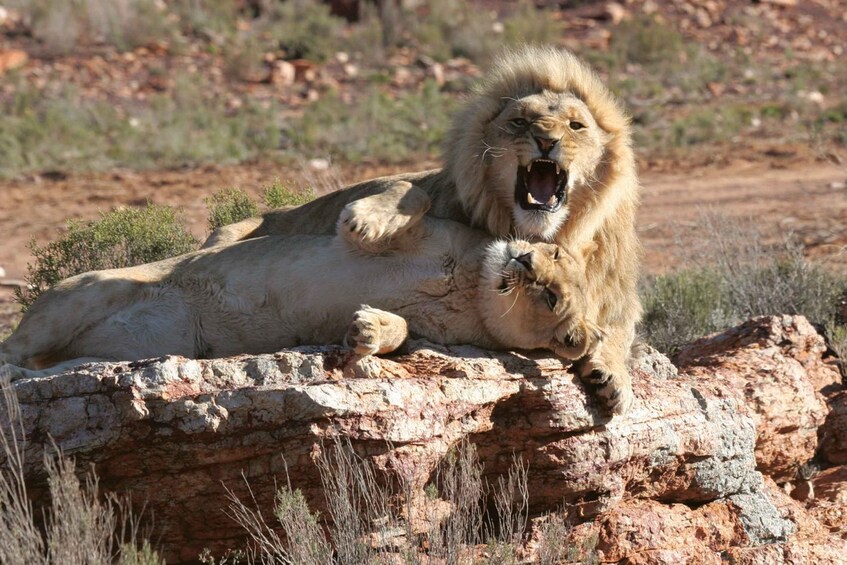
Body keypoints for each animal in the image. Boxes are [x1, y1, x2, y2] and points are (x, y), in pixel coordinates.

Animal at [0, 211, 603, 381]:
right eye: (554, 253)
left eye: (552, 298)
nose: (523, 260)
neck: (473, 289)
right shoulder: (431, 230)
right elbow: (397, 207)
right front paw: (366, 222)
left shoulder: (436, 337)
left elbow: (402, 333)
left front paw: (366, 332)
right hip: (77, 295)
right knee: (15, 350)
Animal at [202, 46, 641, 414]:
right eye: (520, 121)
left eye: (576, 125)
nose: (546, 139)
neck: (544, 230)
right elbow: (410, 190)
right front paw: (368, 220)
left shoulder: (613, 287)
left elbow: (619, 327)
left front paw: (611, 380)